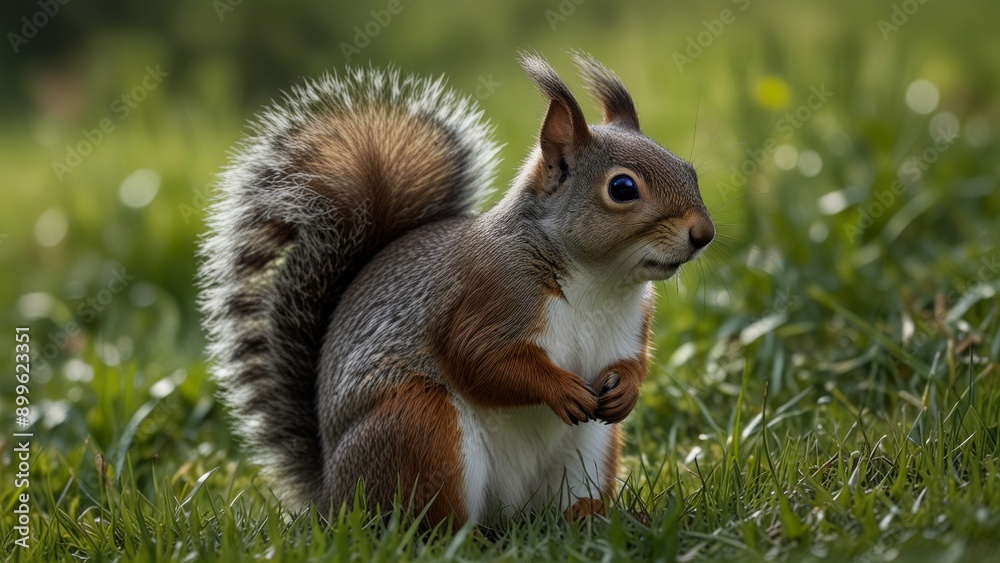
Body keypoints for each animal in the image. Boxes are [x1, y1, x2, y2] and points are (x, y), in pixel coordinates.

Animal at [199, 52, 714, 527]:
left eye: (690, 171)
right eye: (623, 188)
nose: (704, 234)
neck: (598, 280)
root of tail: (334, 500)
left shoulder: (631, 322)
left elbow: (632, 361)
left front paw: (627, 389)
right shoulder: (489, 296)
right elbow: (480, 359)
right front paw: (560, 389)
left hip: (591, 449)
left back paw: (590, 516)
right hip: (421, 426)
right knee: (428, 524)